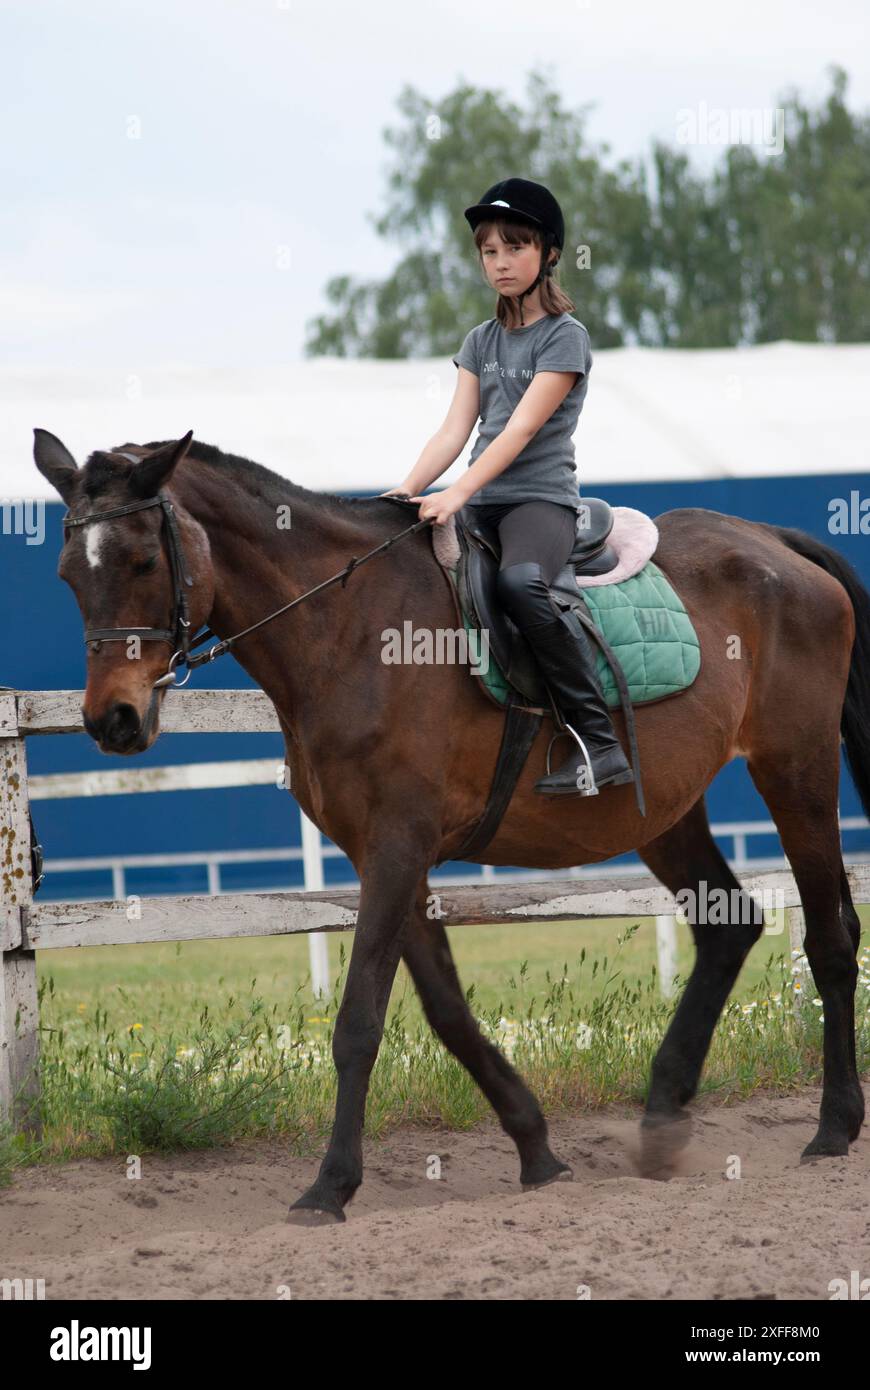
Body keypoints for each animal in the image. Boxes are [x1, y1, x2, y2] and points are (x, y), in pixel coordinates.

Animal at [33, 428, 868, 1225]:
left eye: (142, 560)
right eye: (69, 576)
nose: (113, 720)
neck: (345, 624)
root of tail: (772, 541)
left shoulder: (398, 844)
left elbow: (359, 1021)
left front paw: (329, 1187)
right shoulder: (383, 853)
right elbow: (447, 1012)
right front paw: (537, 1151)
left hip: (795, 767)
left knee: (829, 938)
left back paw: (833, 1127)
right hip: (663, 806)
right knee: (728, 925)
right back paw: (663, 1118)